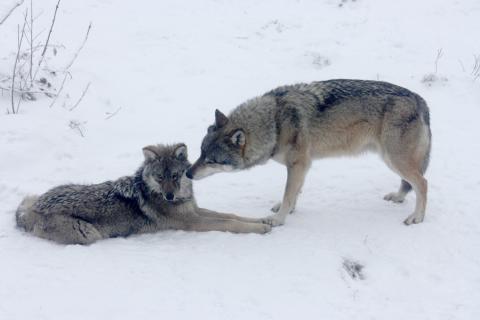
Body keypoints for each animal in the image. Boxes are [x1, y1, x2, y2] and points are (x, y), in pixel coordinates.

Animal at [15, 144, 270, 244]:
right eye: (159, 177)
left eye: (174, 176)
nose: (169, 197)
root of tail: (33, 208)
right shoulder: (192, 221)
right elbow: (229, 222)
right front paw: (259, 229)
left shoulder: (195, 210)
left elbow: (231, 215)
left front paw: (263, 221)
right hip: (89, 233)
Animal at [187, 79, 432, 226]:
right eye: (200, 153)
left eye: (212, 160)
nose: (188, 173)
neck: (275, 122)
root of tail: (418, 98)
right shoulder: (302, 165)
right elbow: (294, 193)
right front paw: (287, 210)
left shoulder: (298, 164)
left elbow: (288, 193)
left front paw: (278, 219)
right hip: (391, 160)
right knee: (411, 183)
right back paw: (398, 197)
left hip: (395, 159)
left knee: (422, 183)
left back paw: (417, 217)